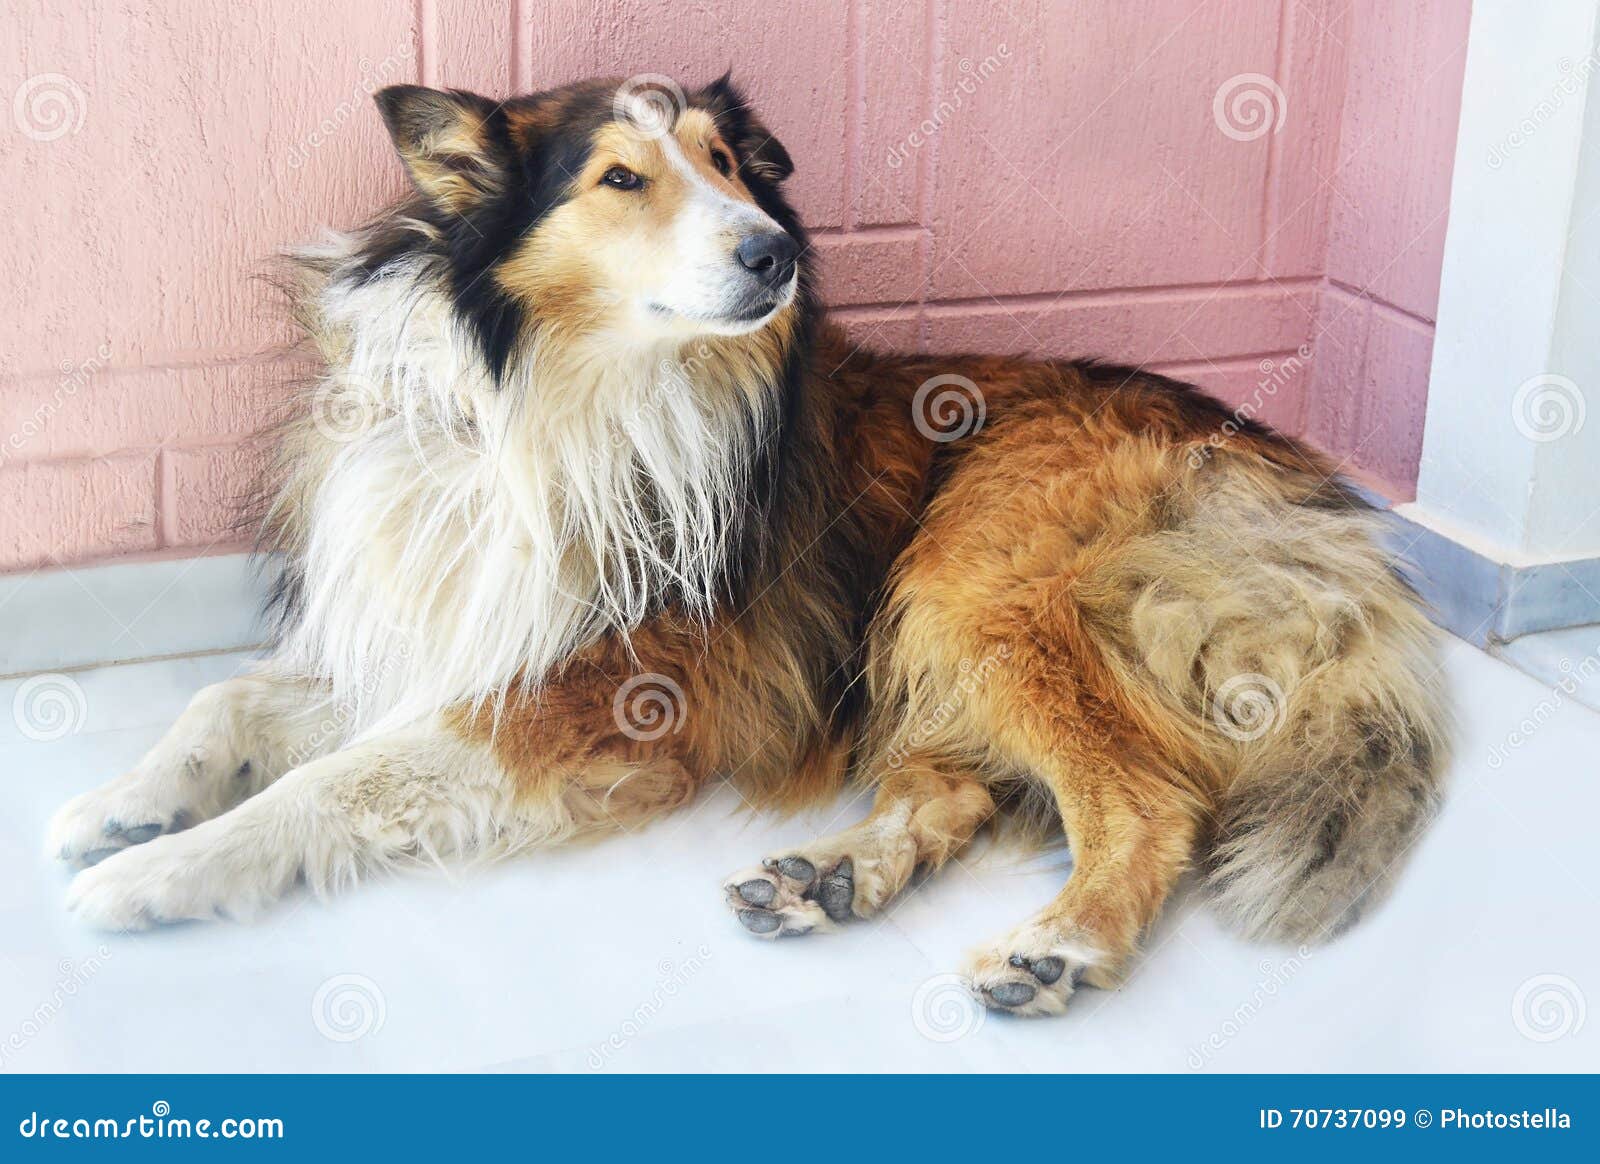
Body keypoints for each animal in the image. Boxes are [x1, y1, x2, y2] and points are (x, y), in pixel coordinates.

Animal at [50, 77, 1452, 1016]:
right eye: (621, 177)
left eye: (729, 163)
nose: (775, 252)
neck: (542, 398)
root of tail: (1277, 469)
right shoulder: (443, 630)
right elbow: (229, 701)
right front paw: (121, 807)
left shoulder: (604, 686)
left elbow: (331, 782)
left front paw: (158, 874)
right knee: (956, 785)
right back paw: (831, 876)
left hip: (966, 579)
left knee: (1147, 796)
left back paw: (1058, 945)